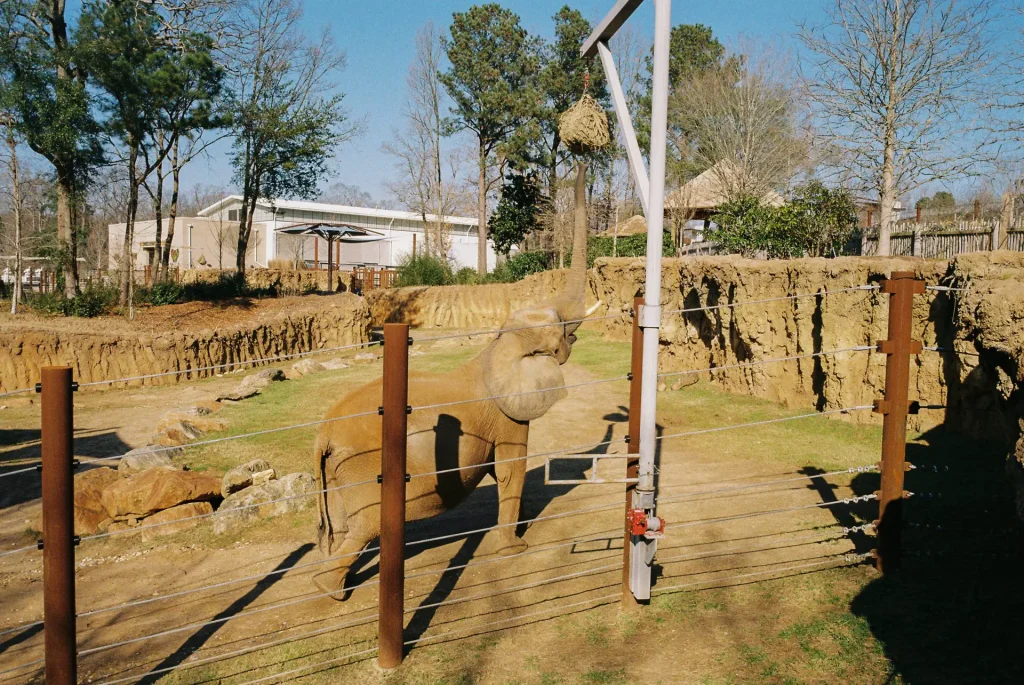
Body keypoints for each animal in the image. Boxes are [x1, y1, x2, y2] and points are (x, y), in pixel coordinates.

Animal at [315, 162, 598, 593]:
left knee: (344, 526)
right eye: (561, 333)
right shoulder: (508, 417)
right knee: (364, 526)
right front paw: (515, 549)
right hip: (361, 467)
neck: (499, 346)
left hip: (336, 471)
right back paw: (333, 594)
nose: (582, 157)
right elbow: (511, 470)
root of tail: (323, 433)